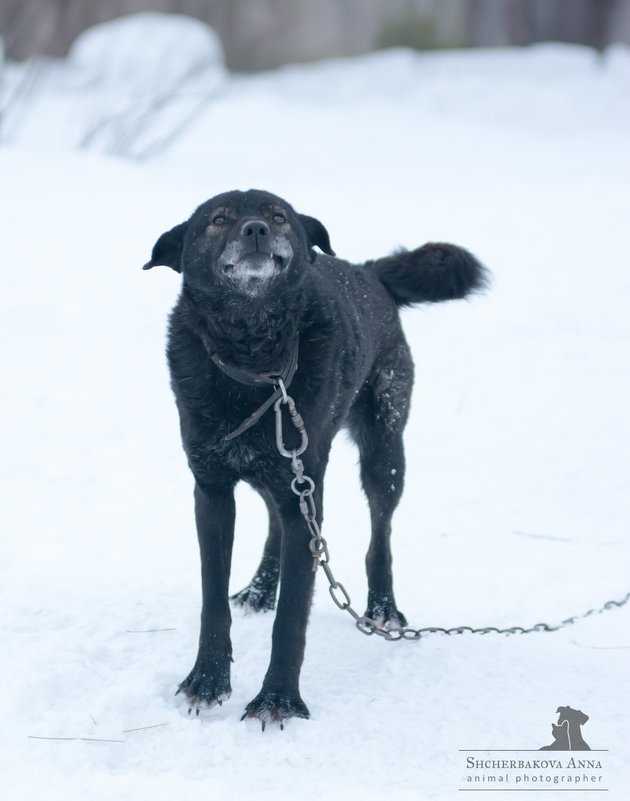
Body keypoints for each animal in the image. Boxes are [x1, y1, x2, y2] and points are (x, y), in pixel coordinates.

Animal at [144, 188, 488, 724]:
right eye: (219, 219)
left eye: (279, 215)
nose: (256, 229)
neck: (256, 361)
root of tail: (369, 272)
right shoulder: (214, 492)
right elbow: (212, 600)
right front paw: (207, 680)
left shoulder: (305, 492)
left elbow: (292, 616)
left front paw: (278, 700)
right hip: (287, 474)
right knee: (275, 525)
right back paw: (261, 587)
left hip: (382, 454)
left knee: (380, 536)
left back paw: (382, 608)